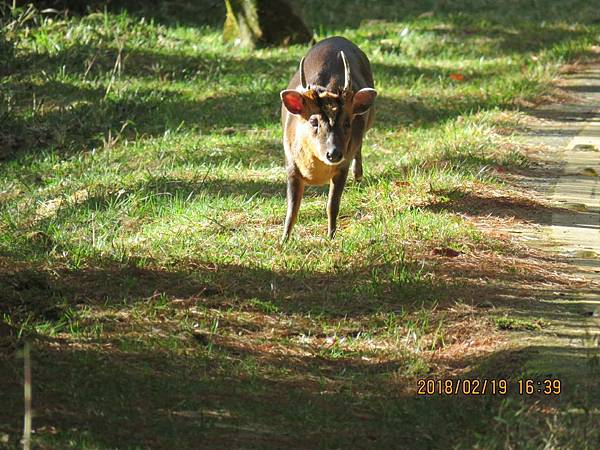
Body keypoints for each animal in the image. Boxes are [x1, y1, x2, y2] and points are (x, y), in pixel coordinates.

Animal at [280, 36, 376, 243]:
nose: (334, 153)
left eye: (347, 123)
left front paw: (331, 235)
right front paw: (284, 239)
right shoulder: (291, 164)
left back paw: (358, 174)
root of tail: (338, 38)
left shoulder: (342, 167)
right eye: (313, 121)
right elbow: (292, 209)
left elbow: (332, 205)